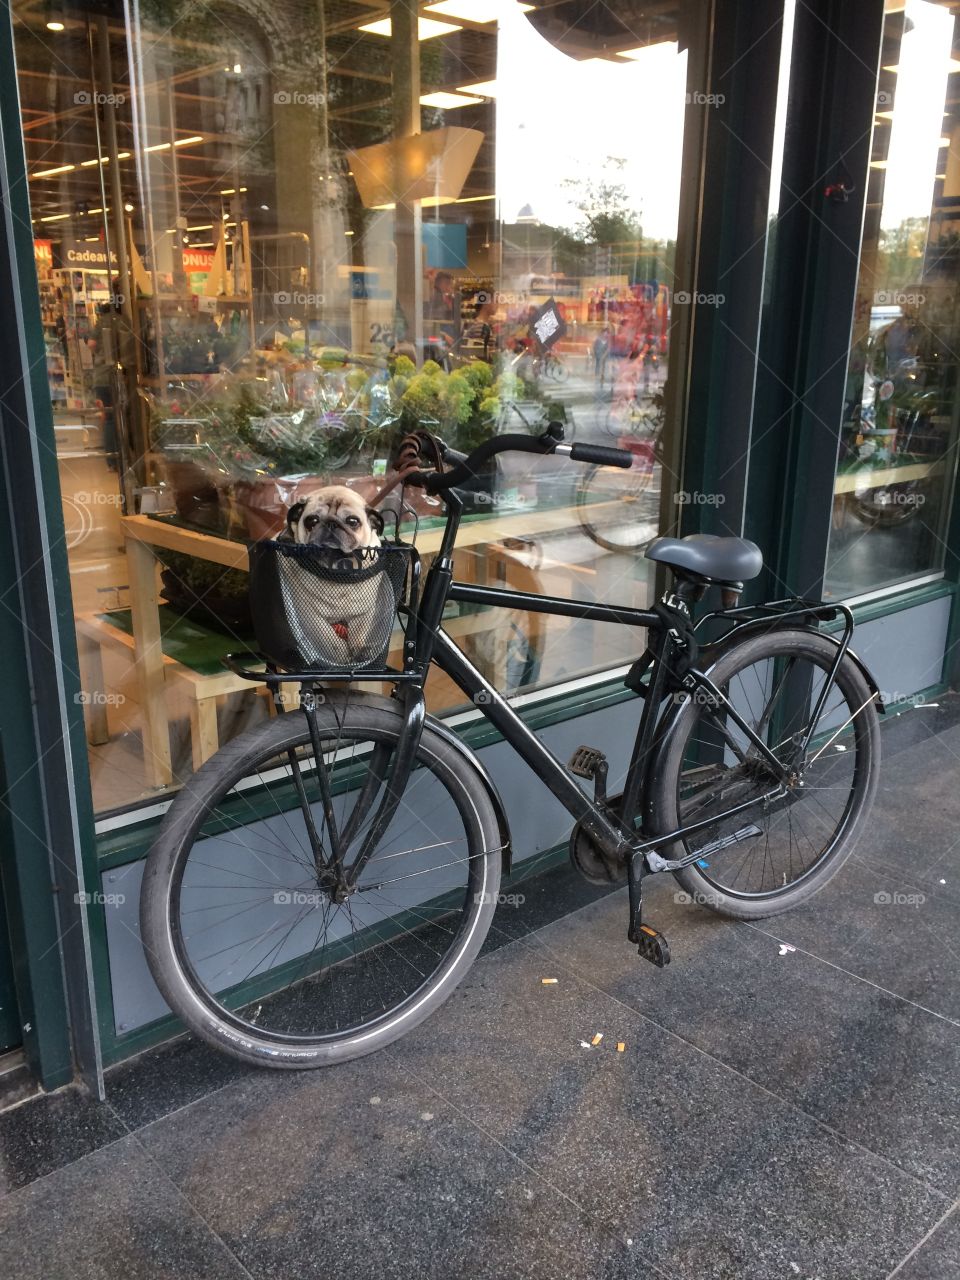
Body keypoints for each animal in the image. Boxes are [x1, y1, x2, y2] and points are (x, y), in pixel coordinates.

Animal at [277, 486, 394, 670]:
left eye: (353, 521)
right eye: (312, 520)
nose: (331, 523)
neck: (339, 569)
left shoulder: (363, 612)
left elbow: (360, 633)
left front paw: (359, 650)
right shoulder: (311, 615)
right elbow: (330, 639)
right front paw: (341, 657)